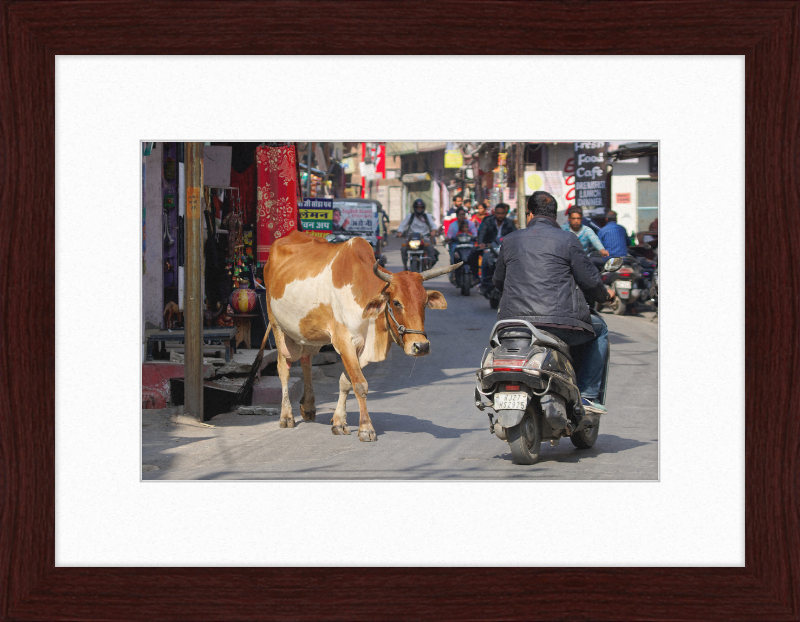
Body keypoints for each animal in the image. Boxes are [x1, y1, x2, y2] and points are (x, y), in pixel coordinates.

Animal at [266, 232, 460, 442]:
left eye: (424, 303)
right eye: (397, 302)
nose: (421, 346)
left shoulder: (360, 347)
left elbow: (345, 382)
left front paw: (339, 422)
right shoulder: (344, 342)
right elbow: (360, 384)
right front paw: (366, 428)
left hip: (306, 333)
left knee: (306, 361)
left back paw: (308, 406)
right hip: (278, 326)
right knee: (283, 368)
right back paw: (286, 416)